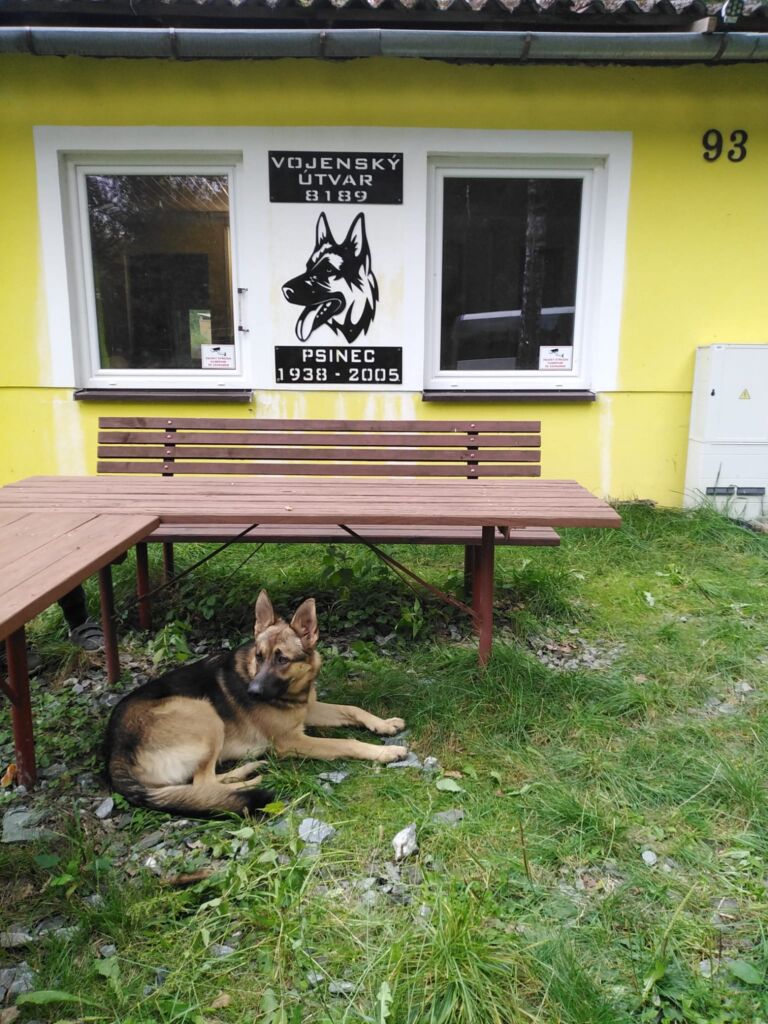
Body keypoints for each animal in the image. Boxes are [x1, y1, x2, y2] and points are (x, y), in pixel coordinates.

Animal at [105, 591, 407, 818]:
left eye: (282, 659)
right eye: (259, 656)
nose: (252, 692)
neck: (292, 690)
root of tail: (114, 754)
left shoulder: (309, 709)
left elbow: (352, 709)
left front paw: (384, 724)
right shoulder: (292, 740)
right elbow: (346, 743)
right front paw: (384, 752)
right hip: (203, 713)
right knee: (202, 783)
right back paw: (251, 780)